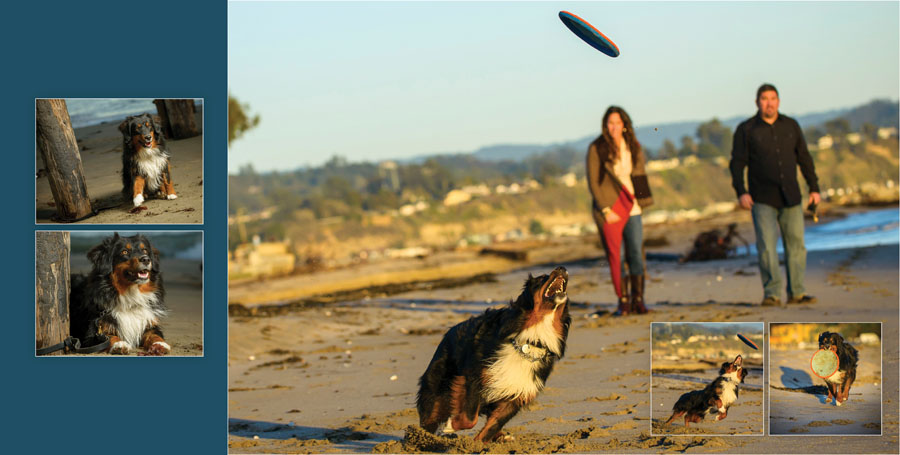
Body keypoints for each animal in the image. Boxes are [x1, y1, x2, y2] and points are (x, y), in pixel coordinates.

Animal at [418, 268, 572, 442]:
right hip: (437, 389)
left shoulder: (517, 394)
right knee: (430, 418)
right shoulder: (474, 378)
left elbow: (492, 426)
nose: (562, 268)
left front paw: (479, 442)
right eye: (542, 278)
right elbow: (470, 418)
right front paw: (451, 426)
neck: (530, 342)